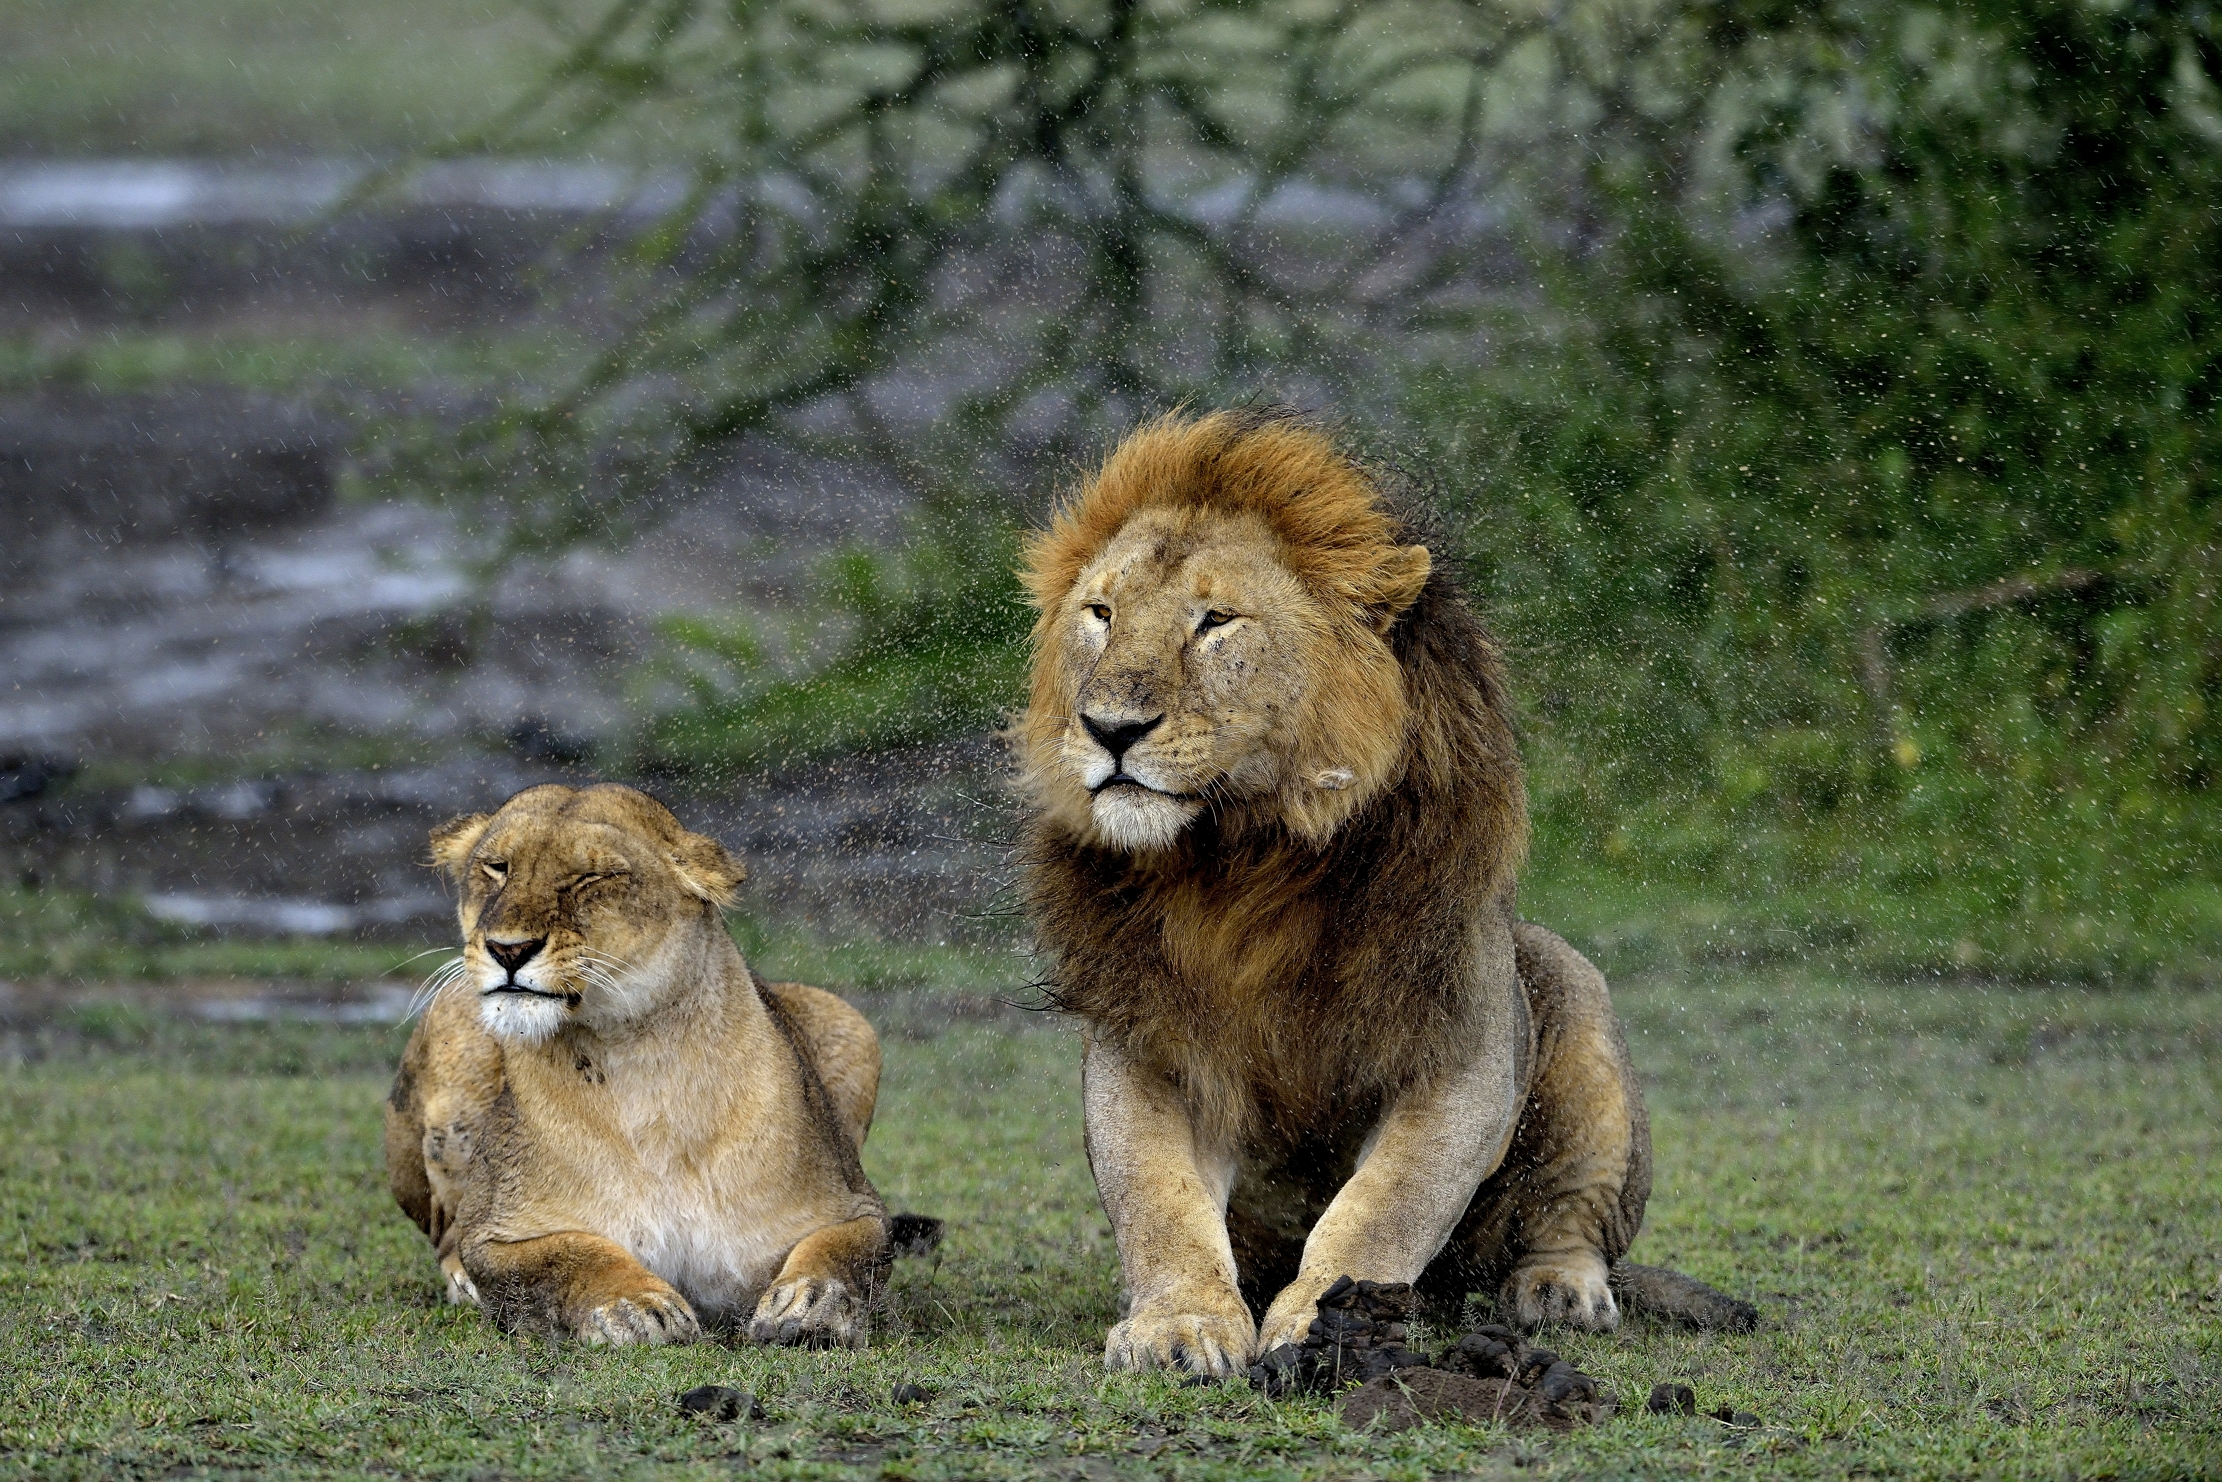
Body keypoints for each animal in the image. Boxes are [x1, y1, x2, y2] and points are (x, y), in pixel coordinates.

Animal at [384, 782, 895, 1347]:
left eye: (591, 877)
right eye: (497, 867)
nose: (507, 949)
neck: (641, 1059)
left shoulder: (856, 1204)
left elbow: (848, 1250)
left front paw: (810, 1303)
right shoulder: (493, 1232)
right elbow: (569, 1256)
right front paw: (635, 1305)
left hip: (848, 1019)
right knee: (443, 1237)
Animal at [1015, 410, 1754, 1376]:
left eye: (1216, 621)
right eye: (1100, 615)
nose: (1109, 729)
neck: (1238, 863)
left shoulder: (1457, 1045)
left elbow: (1385, 1207)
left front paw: (1331, 1324)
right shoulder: (1149, 1045)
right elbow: (1159, 1199)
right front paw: (1178, 1326)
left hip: (1574, 1002)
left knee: (1570, 1222)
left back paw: (1559, 1291)